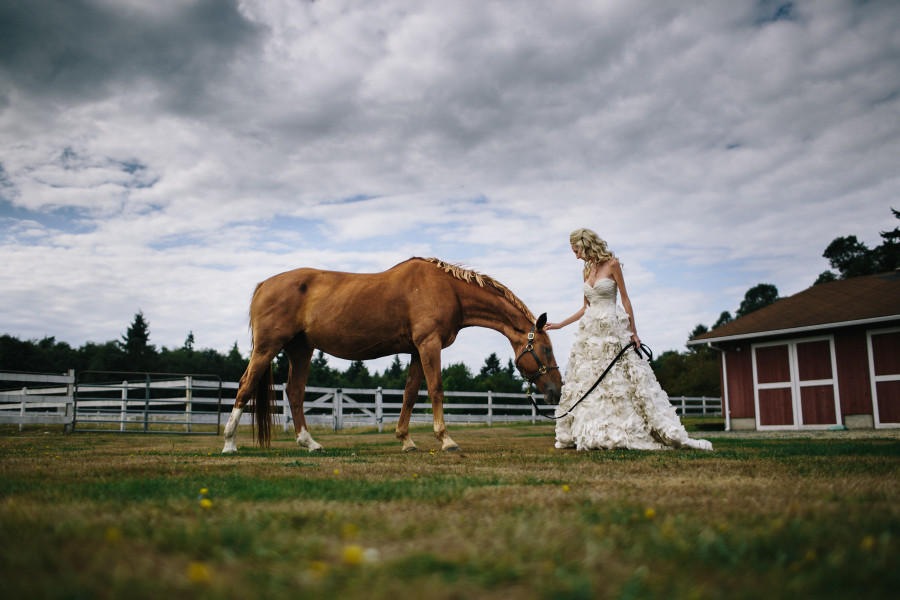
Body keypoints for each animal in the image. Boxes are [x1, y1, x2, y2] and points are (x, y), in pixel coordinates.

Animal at [223, 255, 564, 452]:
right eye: (546, 349)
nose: (556, 391)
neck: (449, 290)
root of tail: (264, 284)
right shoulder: (428, 344)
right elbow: (436, 389)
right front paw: (446, 440)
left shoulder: (416, 350)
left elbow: (410, 394)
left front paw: (406, 440)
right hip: (267, 347)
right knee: (245, 386)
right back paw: (229, 444)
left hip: (301, 349)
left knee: (294, 392)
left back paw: (310, 444)